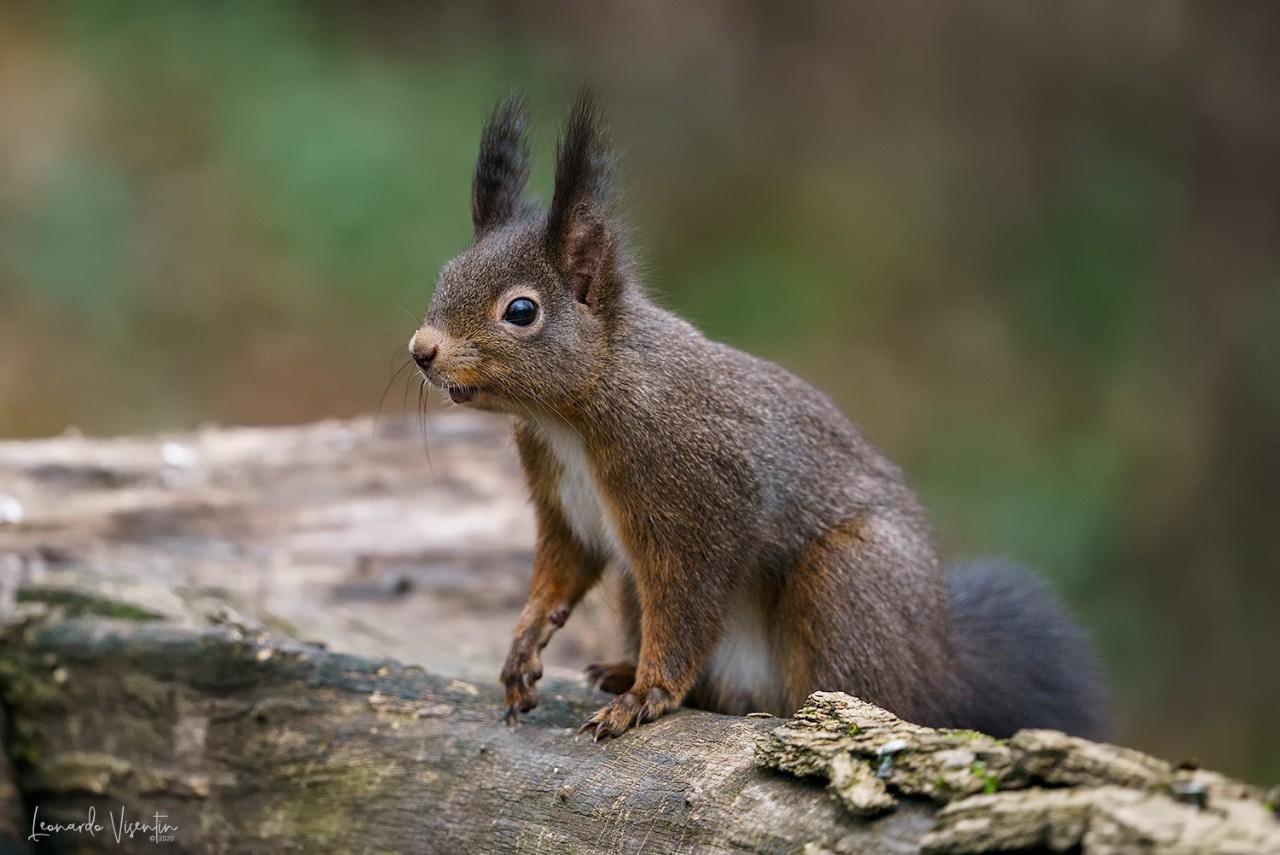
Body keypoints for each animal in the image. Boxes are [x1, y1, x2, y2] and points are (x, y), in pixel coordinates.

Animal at [409, 92, 1111, 742]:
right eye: (444, 276)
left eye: (521, 311)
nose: (421, 350)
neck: (575, 412)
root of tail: (938, 671)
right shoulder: (563, 503)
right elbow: (561, 573)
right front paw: (524, 646)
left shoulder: (697, 503)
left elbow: (685, 609)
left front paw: (646, 696)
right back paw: (620, 667)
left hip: (848, 585)